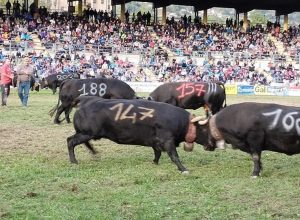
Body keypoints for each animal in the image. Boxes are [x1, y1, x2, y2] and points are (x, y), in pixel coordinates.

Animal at [66, 97, 209, 173]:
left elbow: (157, 153)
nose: (212, 145)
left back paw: (94, 152)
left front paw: (154, 162)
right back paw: (74, 161)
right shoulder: (168, 140)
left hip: (86, 133)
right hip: (86, 133)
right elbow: (174, 155)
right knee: (70, 141)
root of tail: (86, 100)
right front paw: (183, 168)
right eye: (205, 129)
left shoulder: (155, 141)